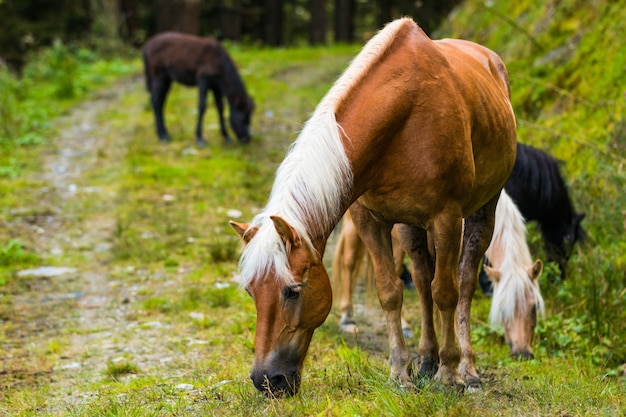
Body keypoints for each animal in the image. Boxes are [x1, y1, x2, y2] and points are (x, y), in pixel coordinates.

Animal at [232, 18, 516, 396]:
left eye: (292, 291)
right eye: (250, 291)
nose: (266, 380)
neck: (404, 115)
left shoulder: (447, 218)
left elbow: (446, 292)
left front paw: (449, 373)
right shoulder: (369, 220)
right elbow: (391, 292)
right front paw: (401, 373)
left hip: (483, 208)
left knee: (465, 281)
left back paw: (466, 368)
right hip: (410, 226)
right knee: (421, 280)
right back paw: (426, 360)